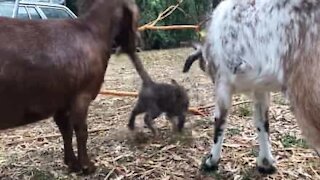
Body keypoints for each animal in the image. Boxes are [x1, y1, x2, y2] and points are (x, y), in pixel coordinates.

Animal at [0, 0, 141, 174]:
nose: (138, 41)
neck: (94, 32)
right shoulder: (81, 95)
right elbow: (81, 130)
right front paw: (87, 166)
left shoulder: (62, 100)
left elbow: (65, 130)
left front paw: (72, 163)